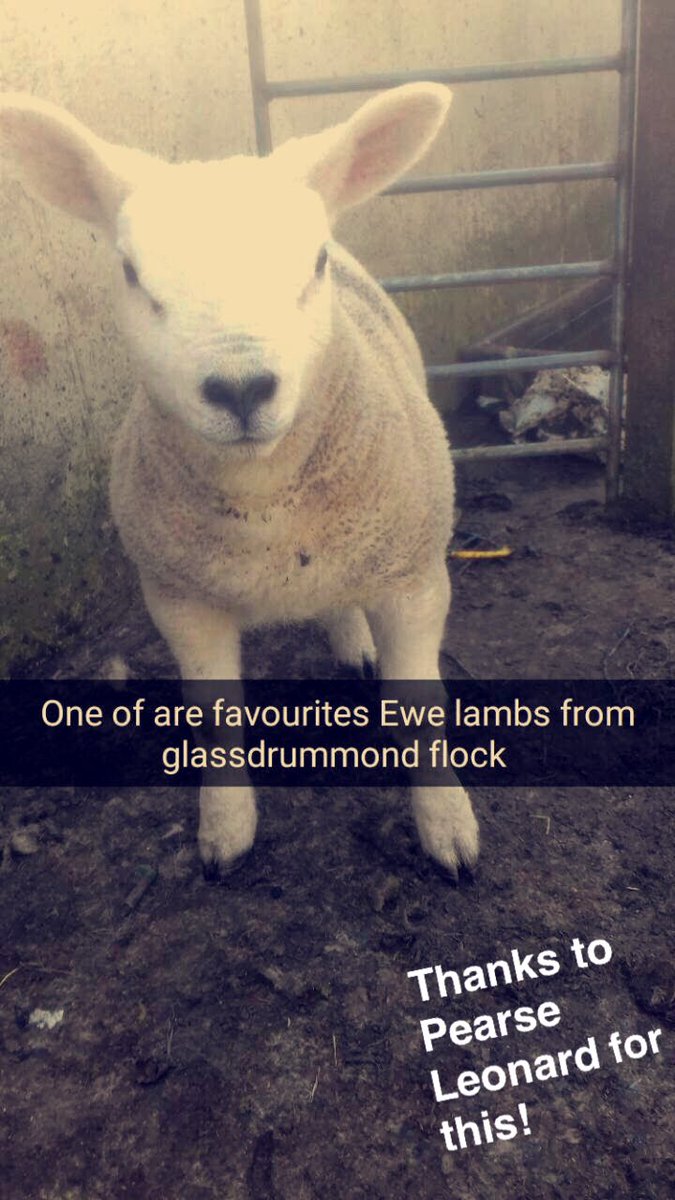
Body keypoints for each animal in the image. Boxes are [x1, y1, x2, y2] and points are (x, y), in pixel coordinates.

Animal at [0, 84, 479, 879]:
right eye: (132, 274)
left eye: (314, 262)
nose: (240, 387)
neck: (266, 499)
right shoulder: (179, 598)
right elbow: (215, 716)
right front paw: (225, 831)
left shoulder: (412, 577)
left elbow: (420, 709)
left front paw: (447, 827)